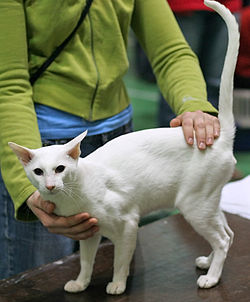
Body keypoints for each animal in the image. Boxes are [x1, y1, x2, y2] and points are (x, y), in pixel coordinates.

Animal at [8, 0, 239, 296]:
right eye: (38, 172)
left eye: (60, 169)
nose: (49, 186)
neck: (73, 196)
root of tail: (221, 137)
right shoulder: (89, 232)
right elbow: (85, 261)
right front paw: (81, 283)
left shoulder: (129, 224)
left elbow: (120, 259)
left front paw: (117, 284)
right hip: (208, 202)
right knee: (228, 233)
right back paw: (207, 262)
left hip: (194, 205)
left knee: (222, 239)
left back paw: (211, 278)